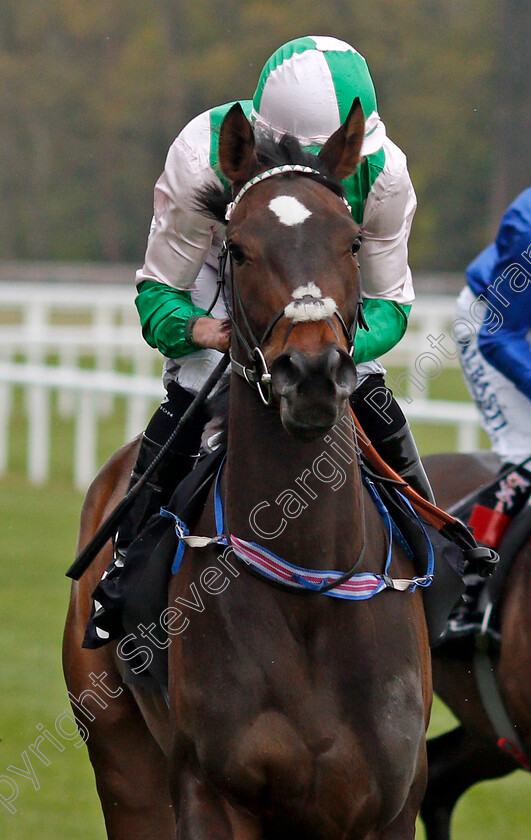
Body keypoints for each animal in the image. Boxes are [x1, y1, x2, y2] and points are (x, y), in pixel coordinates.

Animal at [63, 100, 432, 840]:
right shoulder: (210, 791)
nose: (311, 373)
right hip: (122, 760)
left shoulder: (389, 803)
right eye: (236, 247)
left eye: (352, 241)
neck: (310, 588)